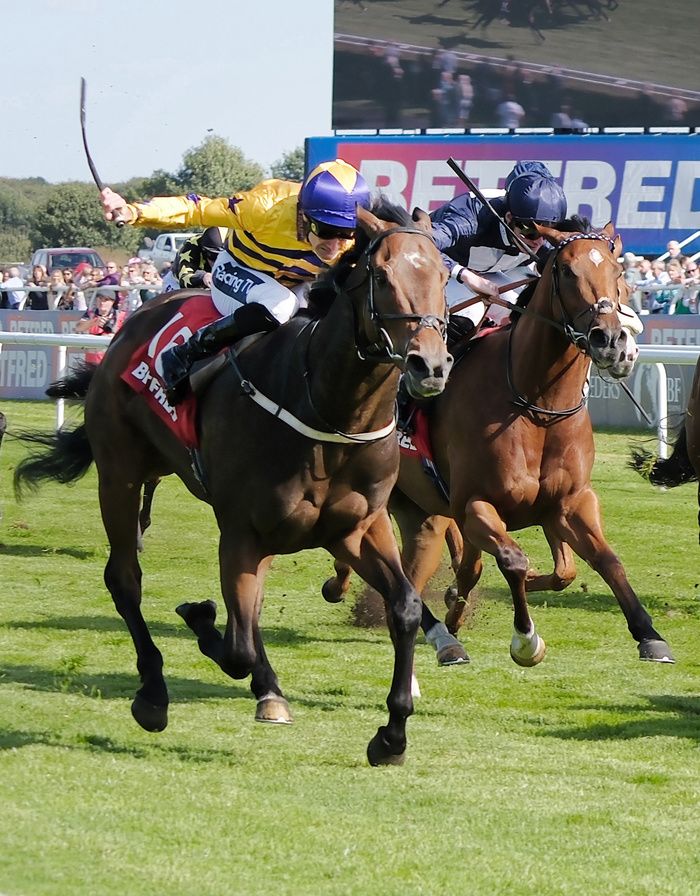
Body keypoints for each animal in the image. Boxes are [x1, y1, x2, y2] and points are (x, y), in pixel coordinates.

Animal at [16, 200, 456, 768]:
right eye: (381, 276)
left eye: (443, 275)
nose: (431, 364)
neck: (327, 409)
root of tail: (134, 320)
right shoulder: (243, 532)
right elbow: (238, 644)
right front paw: (201, 620)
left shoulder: (356, 527)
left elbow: (402, 607)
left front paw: (392, 734)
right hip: (120, 474)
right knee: (125, 578)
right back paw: (155, 693)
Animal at [326, 217, 676, 664]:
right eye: (567, 270)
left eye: (617, 272)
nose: (612, 341)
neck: (536, 404)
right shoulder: (475, 503)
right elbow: (512, 561)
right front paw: (525, 638)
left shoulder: (570, 502)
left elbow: (597, 563)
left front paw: (649, 635)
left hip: (420, 510)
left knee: (422, 566)